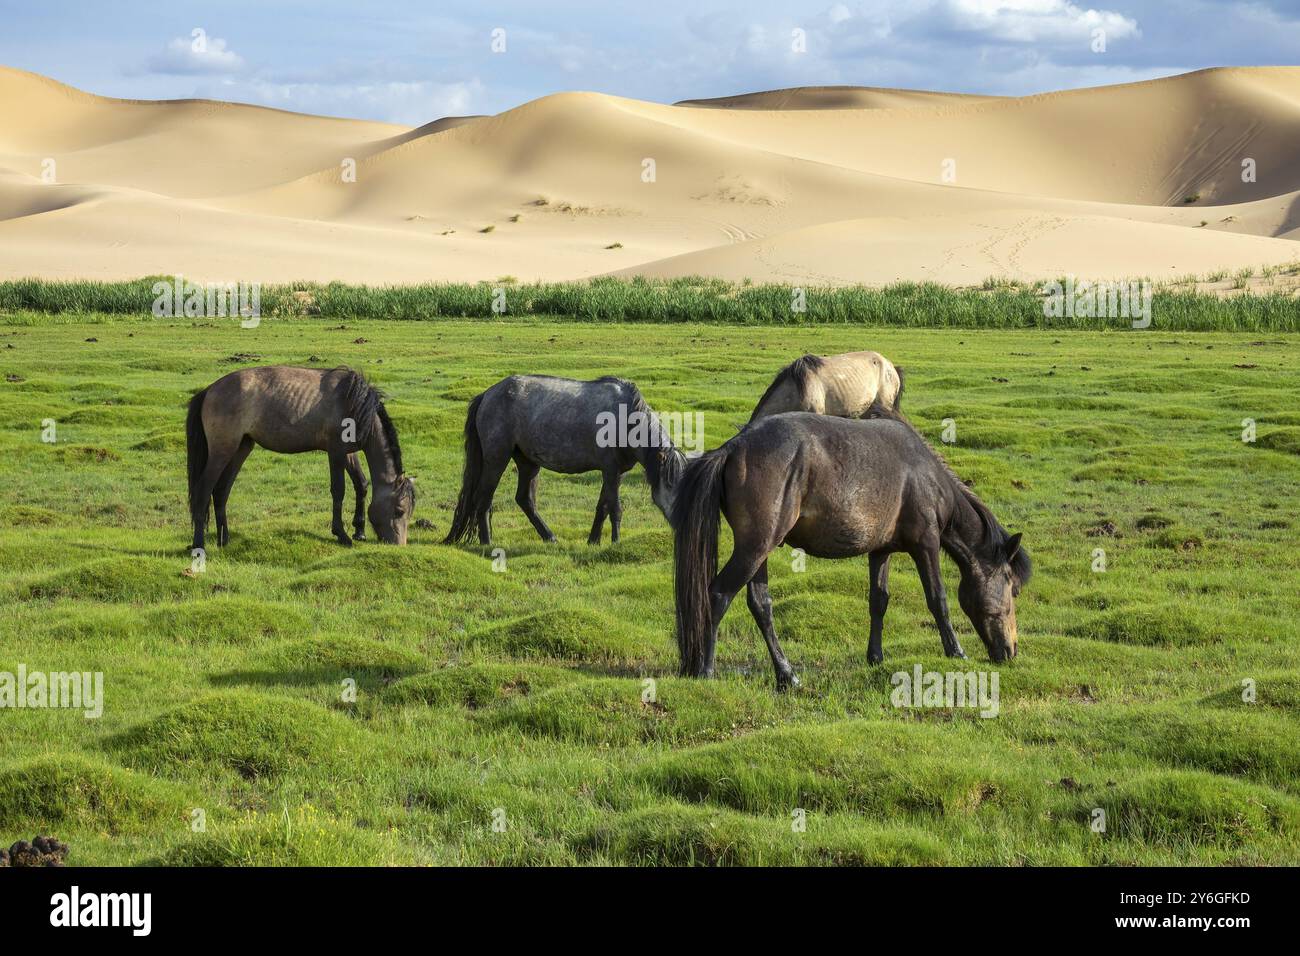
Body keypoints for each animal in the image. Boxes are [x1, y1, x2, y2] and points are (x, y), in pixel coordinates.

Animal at [183, 366, 413, 548]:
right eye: (399, 511)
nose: (399, 545)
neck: (354, 404)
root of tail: (209, 390)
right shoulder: (335, 452)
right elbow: (338, 490)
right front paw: (342, 534)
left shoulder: (349, 452)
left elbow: (361, 484)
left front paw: (359, 531)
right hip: (221, 451)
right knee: (203, 491)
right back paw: (199, 544)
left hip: (241, 448)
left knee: (221, 491)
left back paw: (224, 539)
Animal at [444, 377, 691, 548]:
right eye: (673, 490)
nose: (683, 525)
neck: (626, 419)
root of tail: (487, 394)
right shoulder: (610, 470)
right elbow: (615, 508)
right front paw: (616, 542)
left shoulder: (615, 472)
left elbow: (602, 507)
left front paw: (593, 541)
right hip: (497, 458)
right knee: (483, 498)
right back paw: (487, 543)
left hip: (528, 462)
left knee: (525, 500)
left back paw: (550, 537)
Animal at [670, 403, 1024, 686]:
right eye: (1012, 587)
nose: (1011, 650)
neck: (927, 477)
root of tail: (733, 448)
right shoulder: (926, 543)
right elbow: (938, 599)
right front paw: (956, 651)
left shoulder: (881, 551)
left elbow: (878, 601)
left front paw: (875, 656)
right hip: (754, 549)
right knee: (718, 594)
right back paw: (705, 670)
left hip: (760, 551)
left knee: (761, 605)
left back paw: (787, 675)